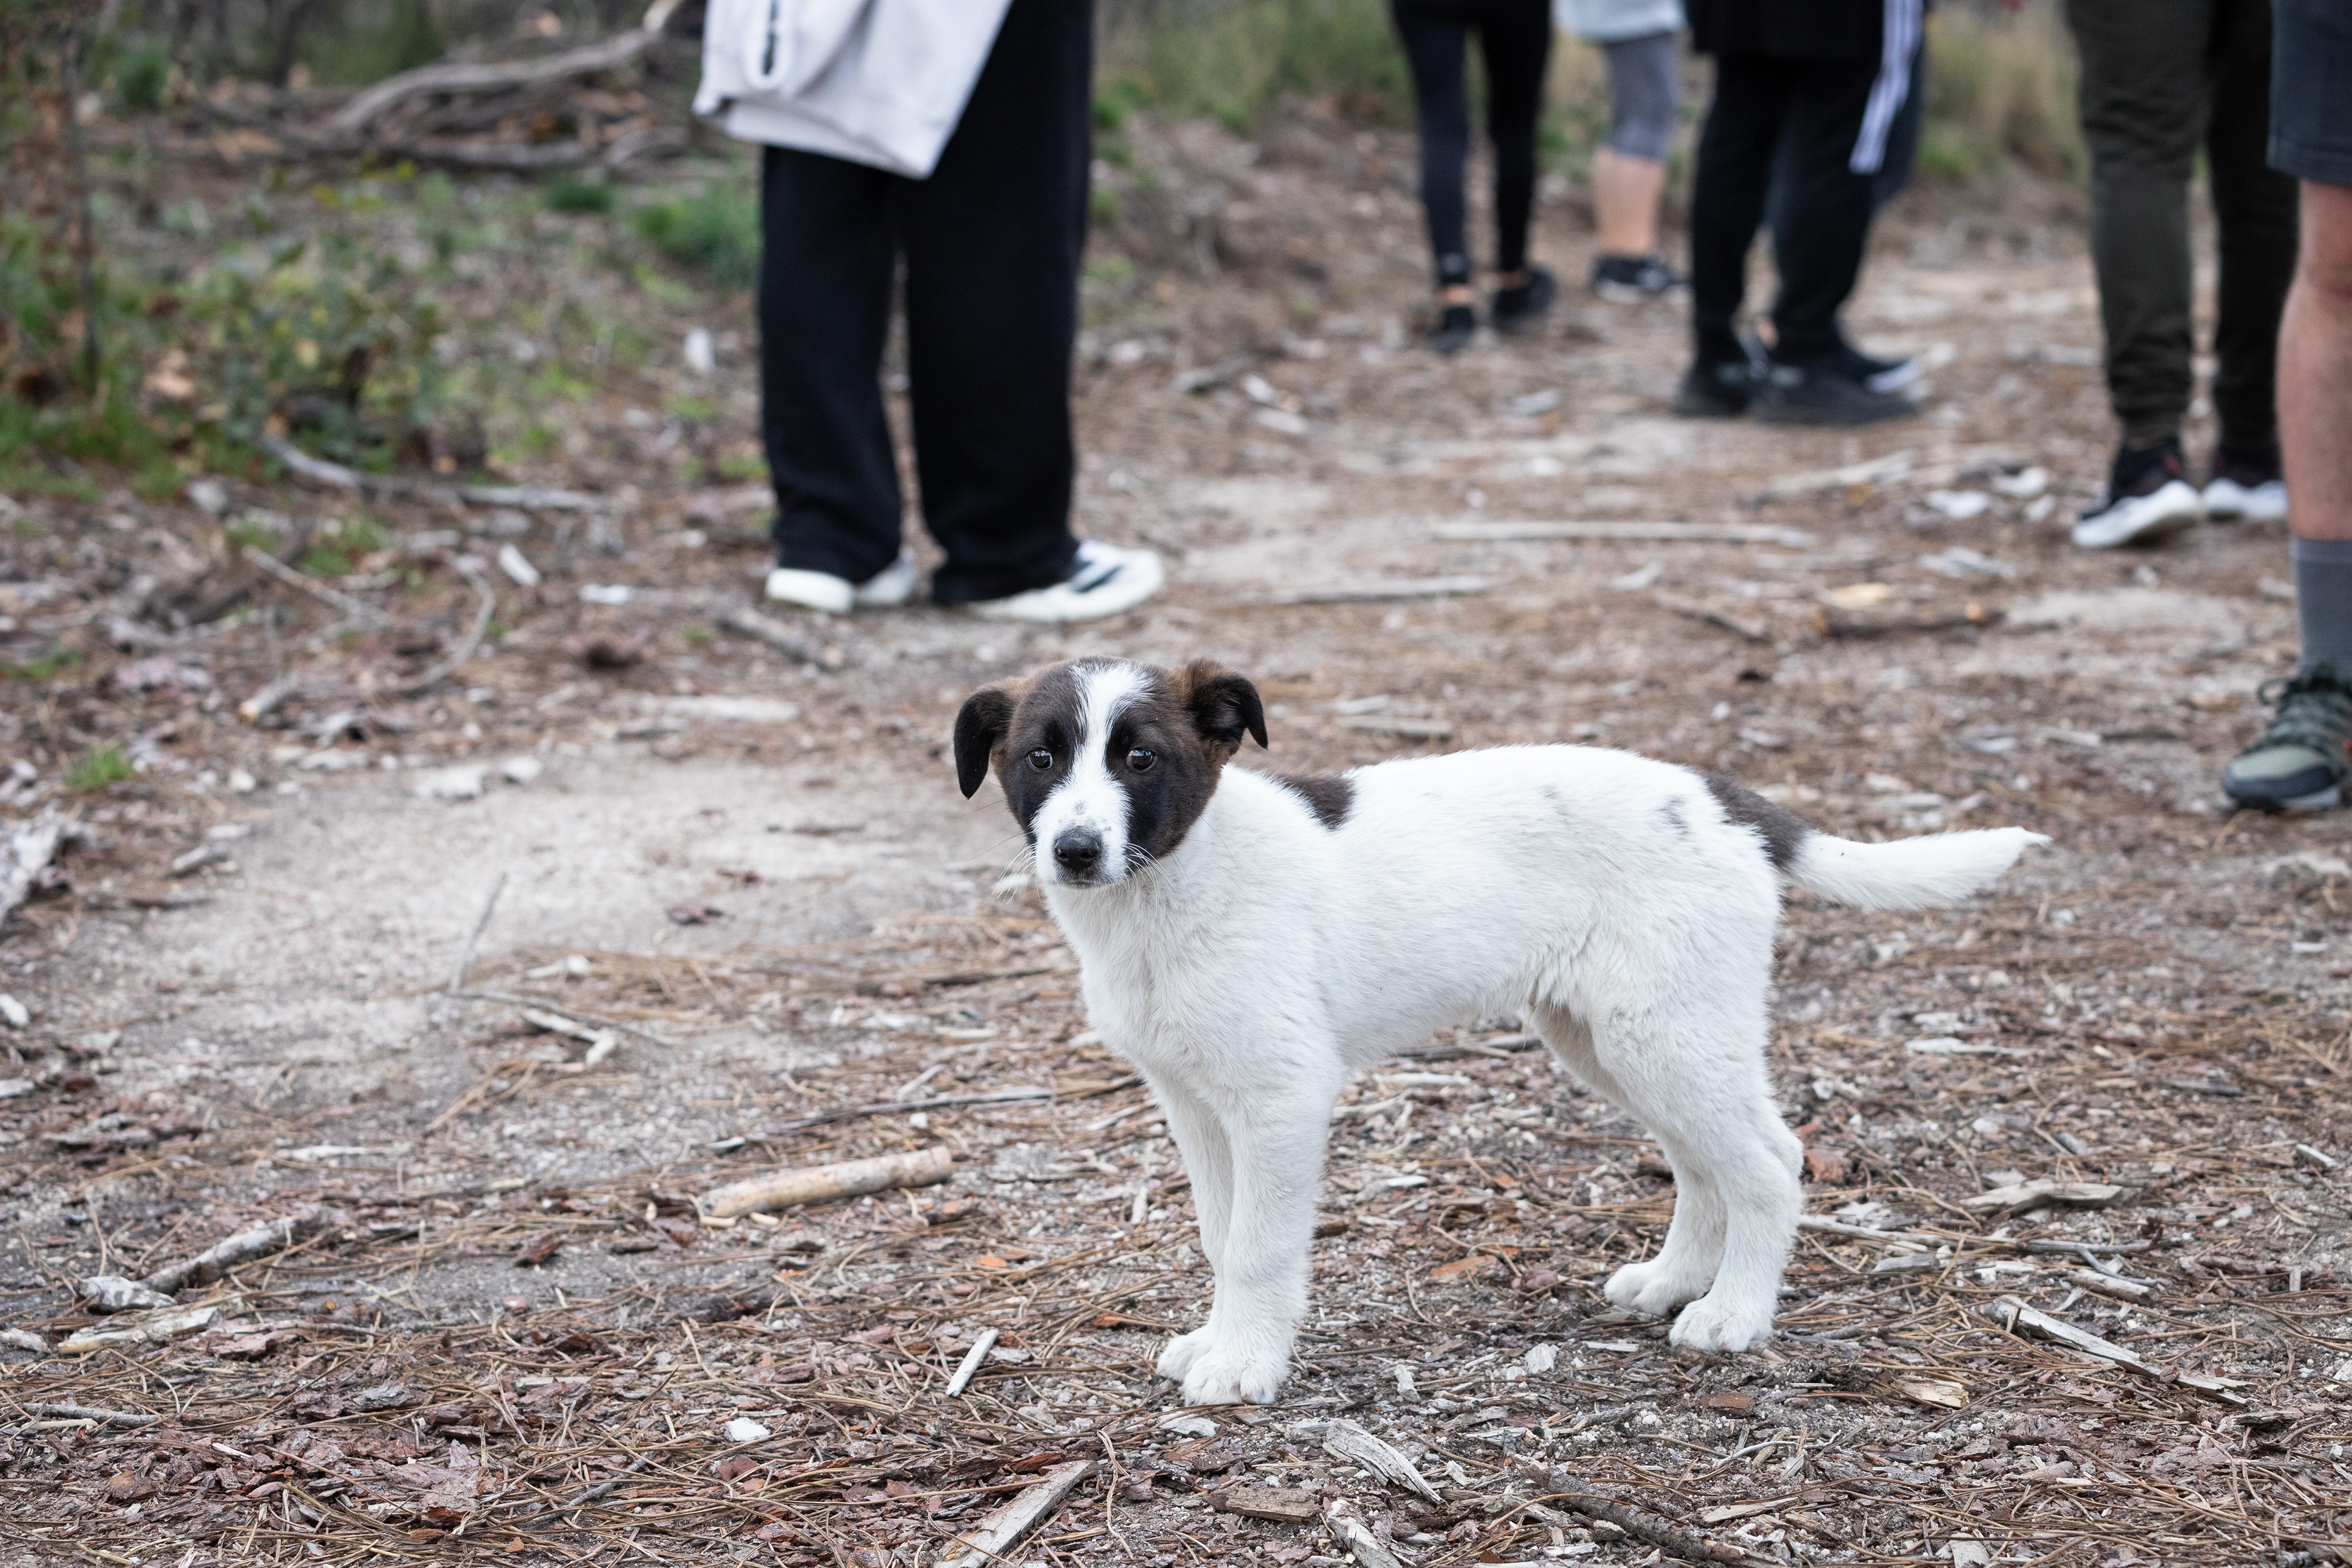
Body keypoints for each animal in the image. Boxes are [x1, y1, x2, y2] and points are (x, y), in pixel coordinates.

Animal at [954, 657, 2046, 1406]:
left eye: (1139, 758)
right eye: (1041, 758)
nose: (1076, 849)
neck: (1172, 885)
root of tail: (1721, 800)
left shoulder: (1278, 1098)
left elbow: (1260, 1246)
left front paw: (1247, 1364)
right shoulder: (1192, 1100)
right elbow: (1223, 1238)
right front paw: (1217, 1340)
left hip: (1667, 1031)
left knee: (1772, 1163)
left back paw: (1735, 1315)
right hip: (1613, 1040)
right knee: (1705, 1166)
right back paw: (1672, 1282)